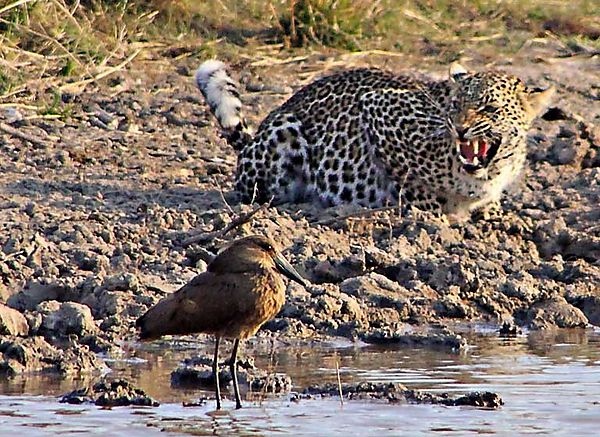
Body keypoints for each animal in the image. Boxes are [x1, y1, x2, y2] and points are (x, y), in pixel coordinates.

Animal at [197, 58, 552, 218]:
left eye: (490, 108)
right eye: (455, 106)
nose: (460, 128)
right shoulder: (378, 107)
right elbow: (413, 182)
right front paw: (432, 215)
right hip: (285, 134)